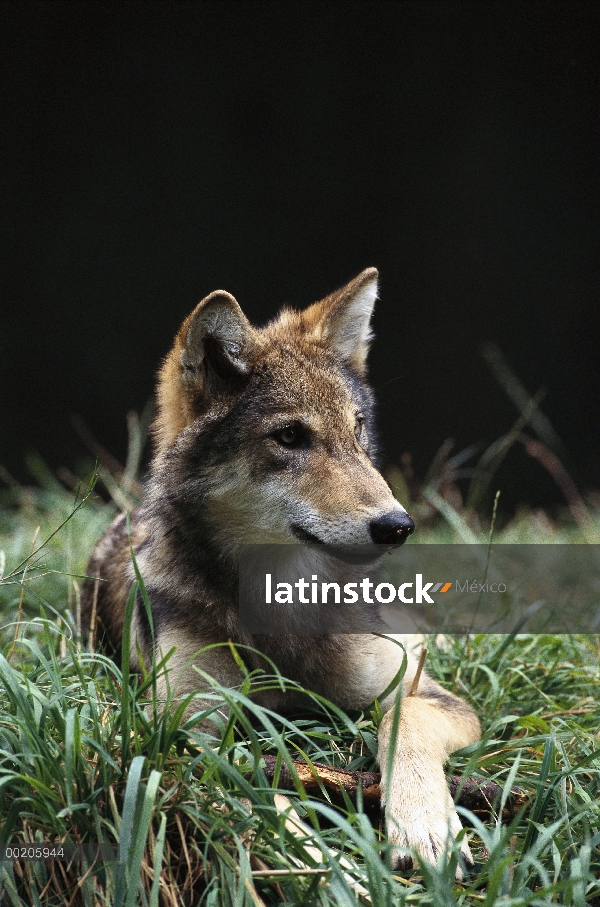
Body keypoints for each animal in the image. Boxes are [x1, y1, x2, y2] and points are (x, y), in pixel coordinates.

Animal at [82, 270, 480, 872]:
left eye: (357, 431)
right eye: (290, 436)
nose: (396, 526)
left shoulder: (427, 695)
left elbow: (405, 719)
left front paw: (425, 825)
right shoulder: (183, 730)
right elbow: (260, 790)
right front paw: (321, 862)